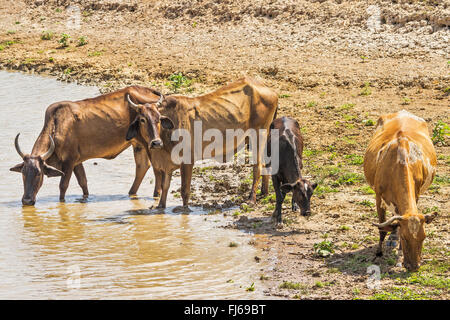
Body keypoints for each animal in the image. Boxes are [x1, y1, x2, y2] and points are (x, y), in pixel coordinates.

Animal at [10, 85, 163, 205]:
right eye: (23, 172)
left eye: (39, 173)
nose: (27, 200)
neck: (57, 125)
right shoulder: (77, 162)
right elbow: (83, 183)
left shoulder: (69, 161)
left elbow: (63, 186)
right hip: (138, 144)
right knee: (142, 166)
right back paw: (131, 193)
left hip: (151, 143)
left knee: (156, 168)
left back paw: (156, 195)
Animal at [125, 76, 278, 209]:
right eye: (142, 119)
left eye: (158, 118)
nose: (156, 143)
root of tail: (269, 89)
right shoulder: (166, 165)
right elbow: (165, 187)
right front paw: (160, 207)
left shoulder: (187, 161)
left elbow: (184, 191)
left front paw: (184, 210)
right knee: (266, 163)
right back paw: (264, 193)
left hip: (258, 135)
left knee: (257, 166)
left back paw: (251, 199)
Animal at [364, 109, 438, 270]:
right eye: (404, 237)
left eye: (424, 237)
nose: (414, 266)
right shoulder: (378, 197)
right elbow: (382, 227)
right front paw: (378, 253)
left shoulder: (415, 194)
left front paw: (399, 257)